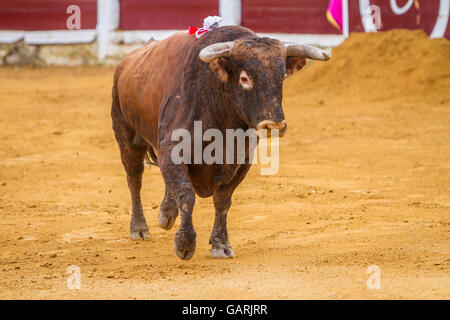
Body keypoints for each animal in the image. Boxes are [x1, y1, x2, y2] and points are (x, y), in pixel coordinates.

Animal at [111, 25, 330, 260]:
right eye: (244, 78)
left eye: (281, 77)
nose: (274, 124)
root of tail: (125, 63)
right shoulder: (171, 150)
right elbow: (186, 194)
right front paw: (185, 244)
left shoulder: (241, 162)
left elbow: (223, 200)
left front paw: (220, 244)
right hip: (126, 136)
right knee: (134, 179)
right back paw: (139, 228)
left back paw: (166, 214)